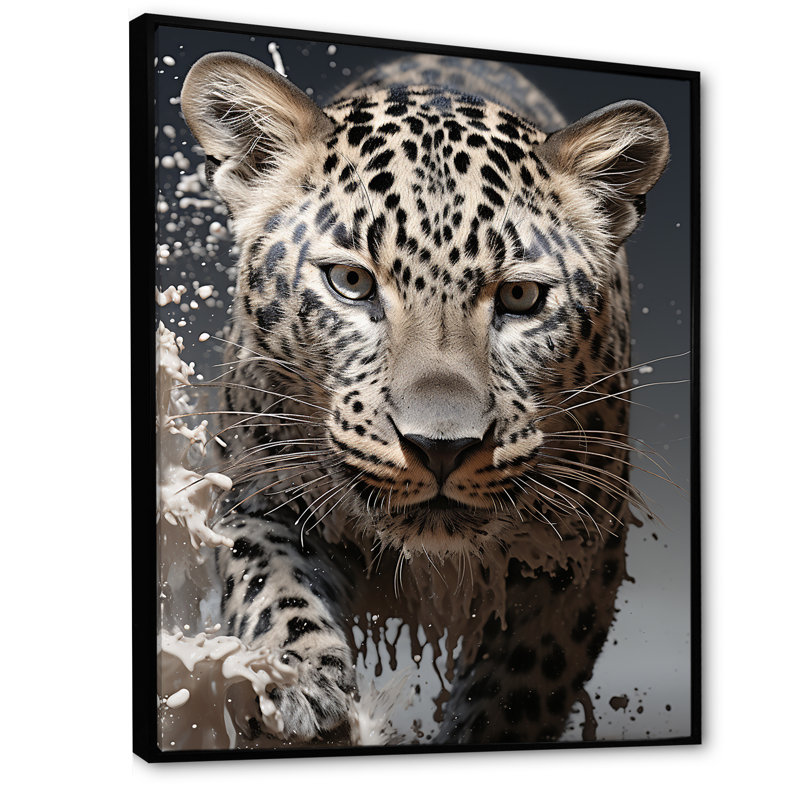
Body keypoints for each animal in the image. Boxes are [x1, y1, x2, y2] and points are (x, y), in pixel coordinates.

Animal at [180, 50, 669, 747]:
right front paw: (299, 684)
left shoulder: (577, 556)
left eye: (521, 297)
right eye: (351, 281)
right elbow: (272, 586)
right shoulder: (258, 493)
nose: (441, 449)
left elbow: (520, 690)